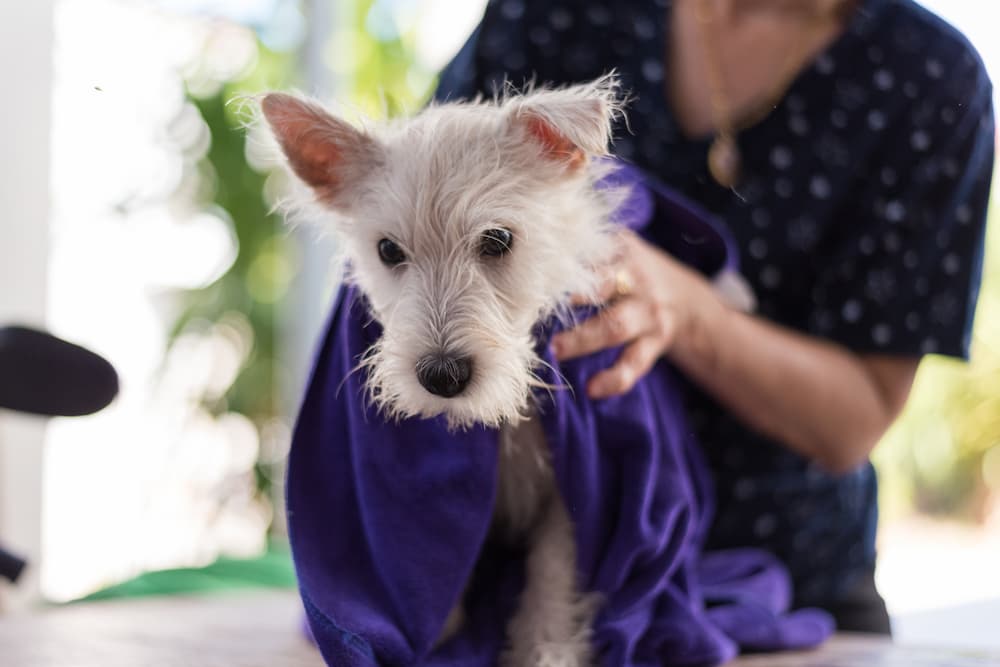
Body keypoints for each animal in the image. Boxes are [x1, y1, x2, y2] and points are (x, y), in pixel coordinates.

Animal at [262, 77, 628, 667]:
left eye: (497, 240)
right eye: (388, 250)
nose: (441, 376)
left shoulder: (569, 486)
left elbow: (553, 568)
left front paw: (546, 647)